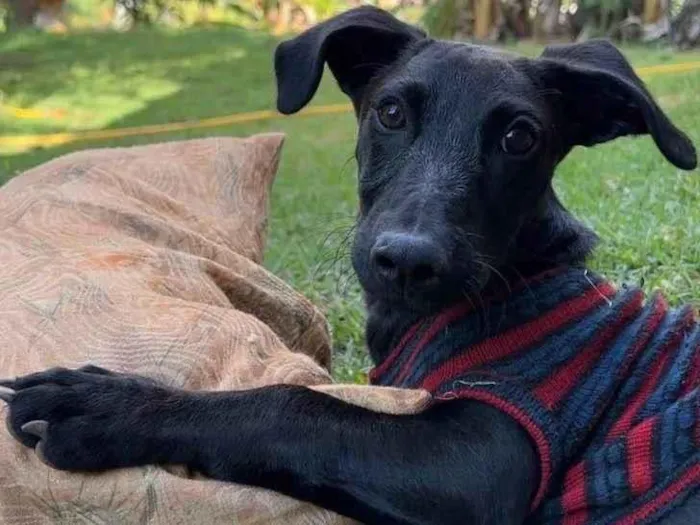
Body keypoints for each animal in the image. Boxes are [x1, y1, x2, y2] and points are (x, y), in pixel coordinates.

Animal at [1, 7, 700, 524]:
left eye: (520, 137)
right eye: (390, 112)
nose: (408, 260)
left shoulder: (487, 453)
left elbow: (293, 407)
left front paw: (110, 405)